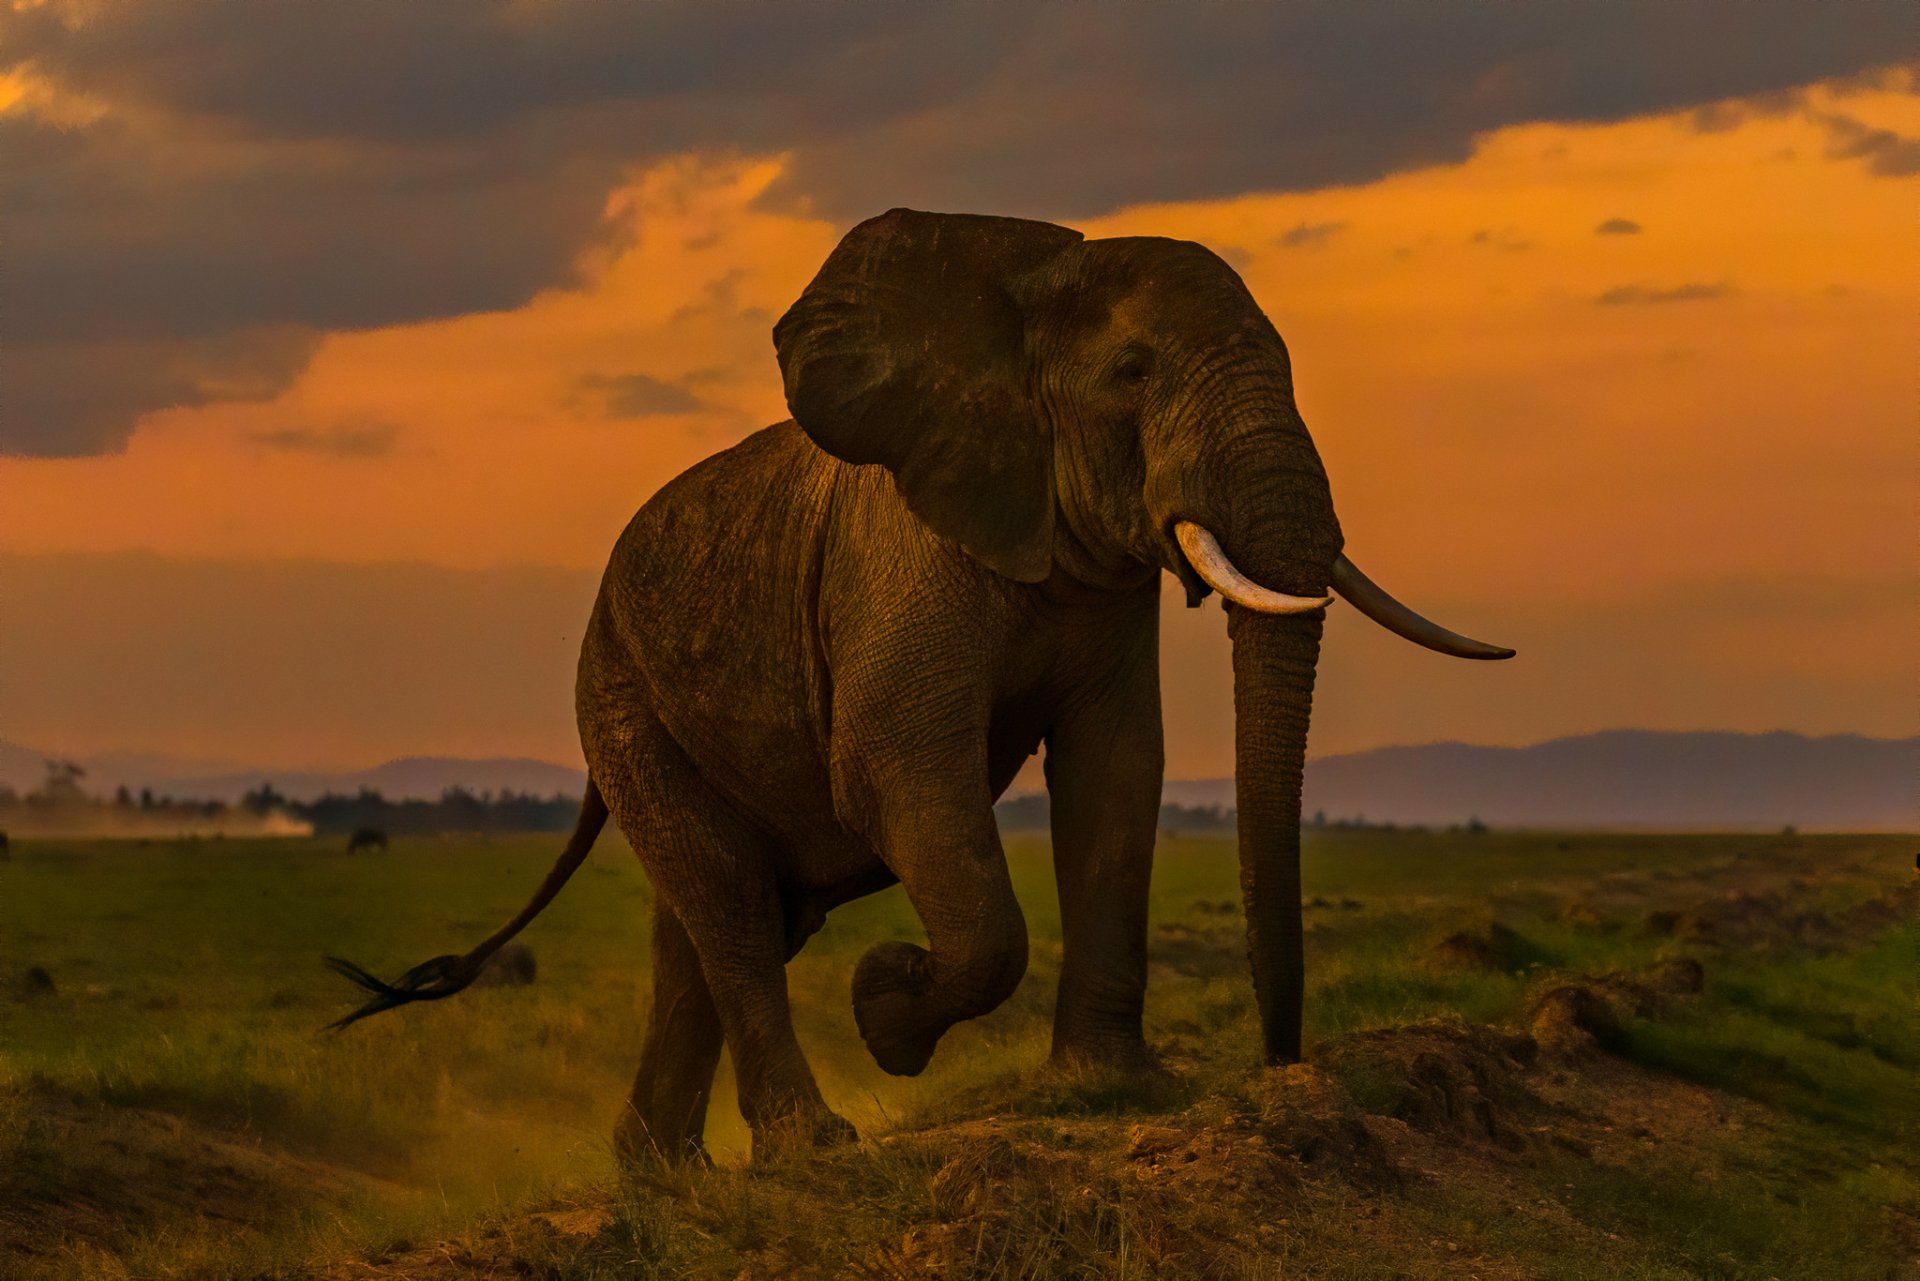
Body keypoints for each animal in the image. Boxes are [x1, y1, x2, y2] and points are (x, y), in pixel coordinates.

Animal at [337, 208, 1520, 1160]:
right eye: (1135, 374)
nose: (1283, 1067)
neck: (1027, 280)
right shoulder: (901, 562)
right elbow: (896, 772)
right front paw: (887, 1014)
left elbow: (1116, 774)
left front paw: (1113, 1087)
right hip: (621, 701)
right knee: (733, 913)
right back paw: (807, 1149)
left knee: (705, 927)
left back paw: (661, 1179)